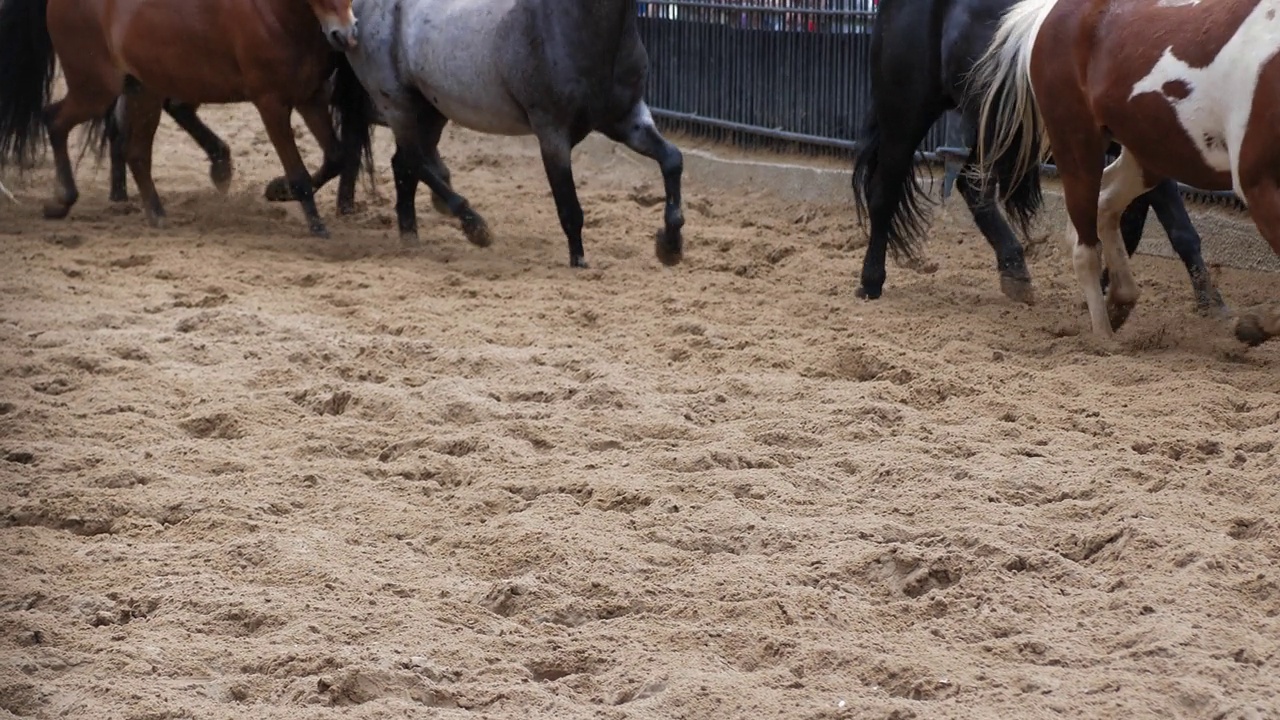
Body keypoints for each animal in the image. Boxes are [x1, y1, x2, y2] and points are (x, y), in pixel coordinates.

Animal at [0, 0, 371, 235]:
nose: (346, 33)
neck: (279, 15)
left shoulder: (311, 98)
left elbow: (336, 157)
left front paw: (277, 190)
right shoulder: (271, 104)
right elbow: (298, 172)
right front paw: (316, 226)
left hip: (142, 89)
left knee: (135, 152)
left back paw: (156, 214)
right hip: (95, 87)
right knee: (54, 120)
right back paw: (63, 199)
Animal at [335, 0, 686, 267]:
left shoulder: (627, 119)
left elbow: (672, 159)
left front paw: (670, 246)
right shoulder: (552, 133)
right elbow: (569, 207)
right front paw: (579, 263)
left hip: (430, 111)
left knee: (404, 164)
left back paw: (411, 237)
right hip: (398, 105)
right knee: (414, 161)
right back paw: (474, 227)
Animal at [855, 0, 1223, 313]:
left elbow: (1136, 222)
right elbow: (1173, 225)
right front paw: (1214, 308)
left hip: (1001, 123)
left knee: (970, 184)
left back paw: (1015, 271)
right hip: (906, 112)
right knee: (884, 192)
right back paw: (870, 282)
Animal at [967, 0, 1280, 345]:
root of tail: (1046, 13)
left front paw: (1251, 326)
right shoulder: (1259, 185)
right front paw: (1251, 325)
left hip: (1150, 155)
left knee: (1105, 203)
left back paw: (1121, 300)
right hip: (1078, 145)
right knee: (1086, 247)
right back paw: (1104, 337)